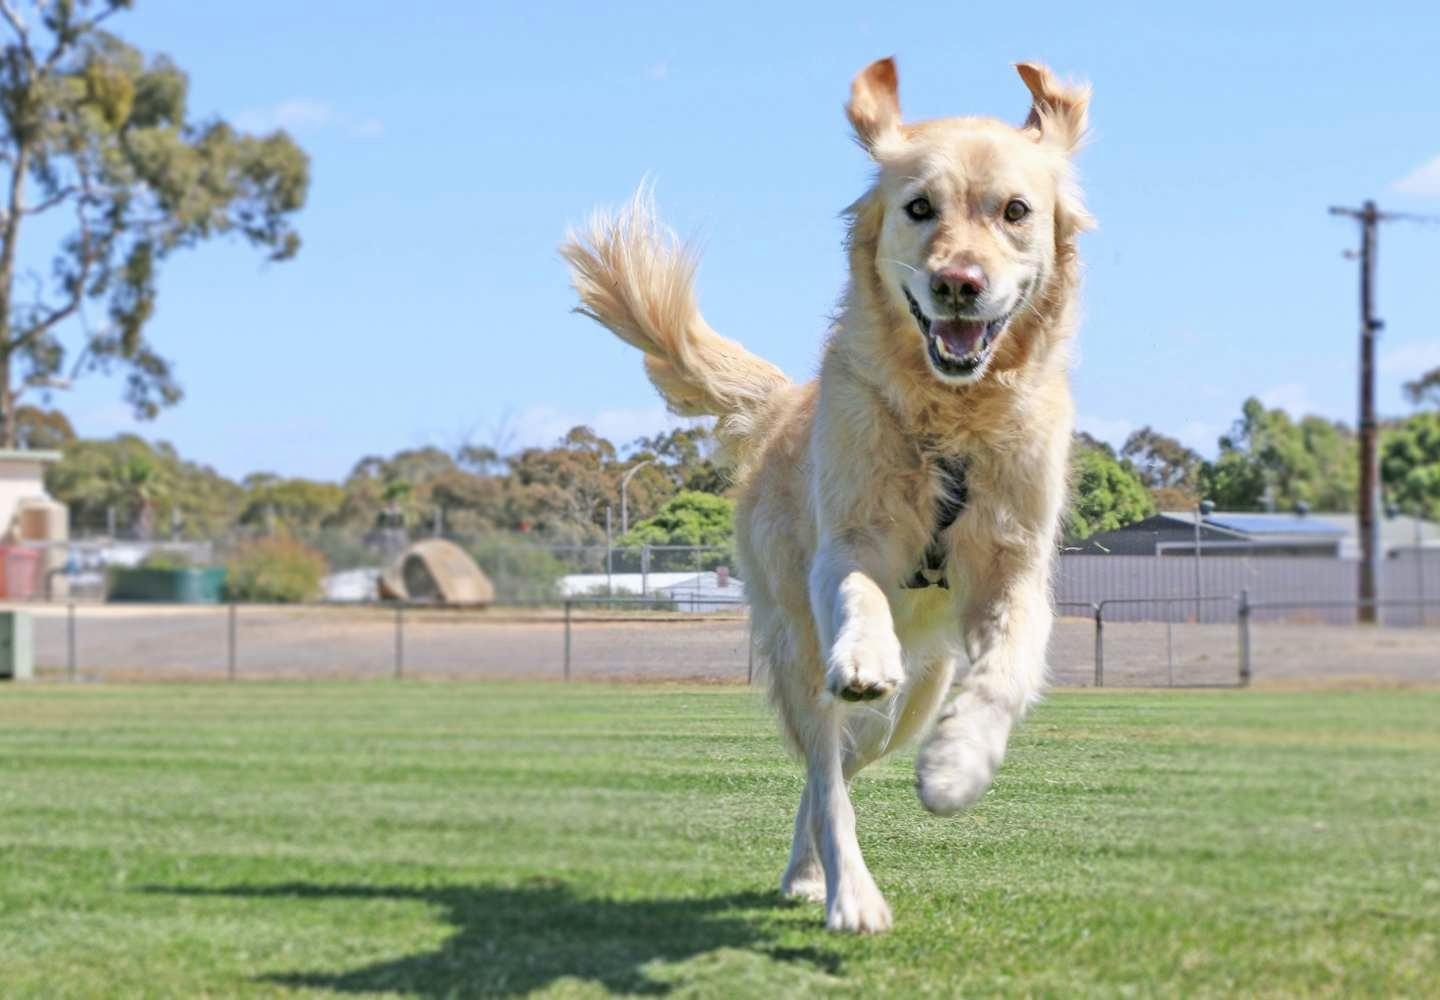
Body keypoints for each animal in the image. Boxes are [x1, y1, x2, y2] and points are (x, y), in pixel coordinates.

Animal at [561, 58, 1088, 933]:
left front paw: (958, 765)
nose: (958, 284)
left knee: (834, 766)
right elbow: (858, 591)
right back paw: (844, 891)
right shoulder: (847, 542)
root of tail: (781, 402)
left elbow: (1007, 672)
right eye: (919, 208)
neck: (949, 419)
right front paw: (866, 650)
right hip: (797, 648)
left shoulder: (1015, 569)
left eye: (1015, 211)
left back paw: (821, 864)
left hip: (911, 703)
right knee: (824, 772)